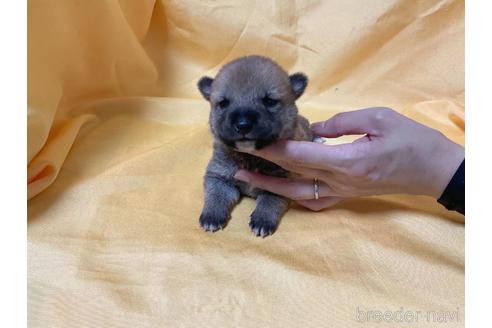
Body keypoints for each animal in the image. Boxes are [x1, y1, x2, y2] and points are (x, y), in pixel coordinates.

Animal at [196, 55, 312, 237]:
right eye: (223, 103)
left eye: (270, 101)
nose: (243, 125)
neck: (250, 156)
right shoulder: (218, 178)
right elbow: (215, 197)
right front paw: (212, 216)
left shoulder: (281, 185)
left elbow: (269, 202)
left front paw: (262, 220)